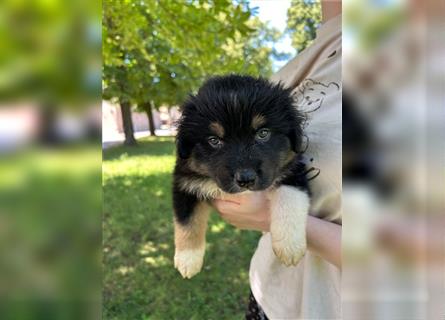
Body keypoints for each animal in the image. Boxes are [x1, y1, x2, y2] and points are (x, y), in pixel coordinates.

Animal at [173, 74, 308, 278]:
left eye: (263, 133)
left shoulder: (295, 170)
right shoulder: (184, 182)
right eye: (214, 140)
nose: (245, 179)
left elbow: (290, 198)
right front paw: (188, 260)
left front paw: (289, 246)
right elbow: (187, 221)